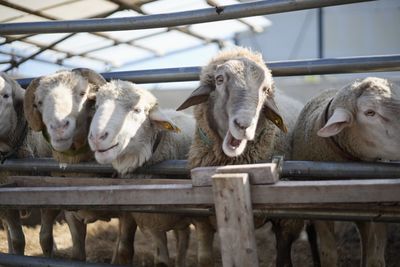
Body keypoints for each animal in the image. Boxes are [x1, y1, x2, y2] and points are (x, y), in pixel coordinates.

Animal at [177, 47, 304, 267]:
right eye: (219, 79)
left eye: (265, 90)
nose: (244, 125)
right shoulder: (202, 218)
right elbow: (204, 258)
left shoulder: (287, 220)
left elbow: (283, 256)